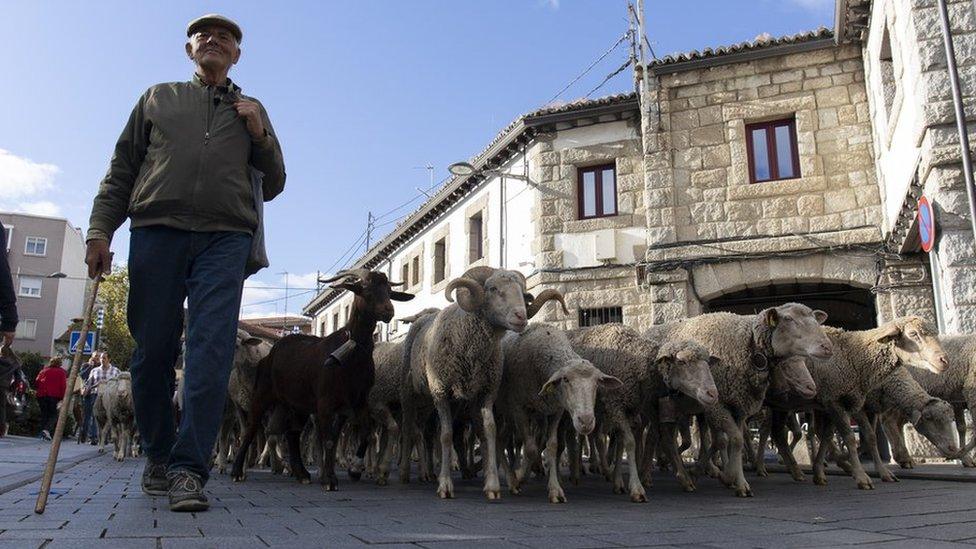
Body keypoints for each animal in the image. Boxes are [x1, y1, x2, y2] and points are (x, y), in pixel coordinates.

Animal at [232, 268, 412, 488]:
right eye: (366, 289)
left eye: (389, 291)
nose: (388, 311)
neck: (351, 351)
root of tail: (273, 352)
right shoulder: (326, 401)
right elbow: (328, 440)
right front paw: (330, 479)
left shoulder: (359, 400)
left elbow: (366, 434)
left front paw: (353, 468)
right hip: (262, 395)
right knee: (251, 429)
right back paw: (237, 471)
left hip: (297, 403)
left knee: (292, 434)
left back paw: (301, 473)